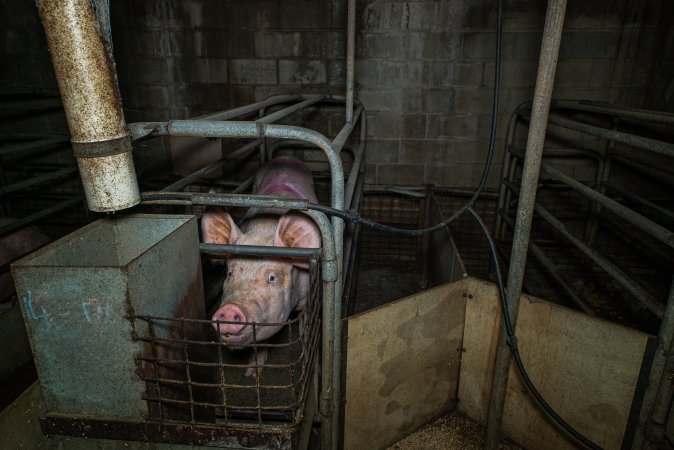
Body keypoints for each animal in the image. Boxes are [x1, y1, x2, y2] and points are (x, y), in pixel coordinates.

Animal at [200, 156, 320, 374]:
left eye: (271, 277)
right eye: (230, 273)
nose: (230, 309)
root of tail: (286, 157)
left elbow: (306, 325)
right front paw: (252, 373)